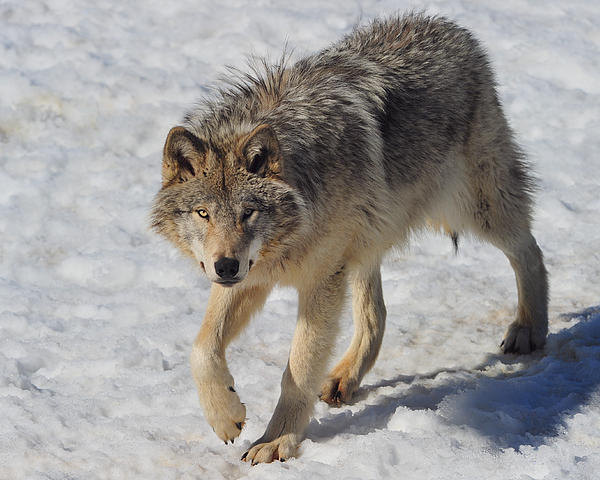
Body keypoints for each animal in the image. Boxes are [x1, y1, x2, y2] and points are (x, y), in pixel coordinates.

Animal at [151, 13, 548, 464]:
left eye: (247, 212)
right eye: (203, 213)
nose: (225, 266)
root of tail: (448, 25)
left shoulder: (319, 280)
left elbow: (298, 369)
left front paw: (277, 441)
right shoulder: (254, 275)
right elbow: (201, 349)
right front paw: (226, 416)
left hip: (475, 209)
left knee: (530, 250)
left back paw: (529, 329)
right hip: (364, 245)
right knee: (377, 314)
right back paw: (345, 377)